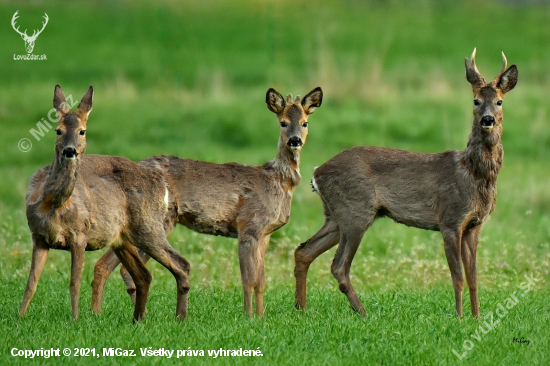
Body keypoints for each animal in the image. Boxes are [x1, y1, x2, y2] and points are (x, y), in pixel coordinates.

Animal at [21, 85, 192, 320]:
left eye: (82, 131)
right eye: (58, 130)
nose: (70, 150)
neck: (53, 205)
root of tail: (162, 184)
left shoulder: (80, 235)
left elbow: (74, 283)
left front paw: (75, 320)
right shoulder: (38, 236)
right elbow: (31, 284)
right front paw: (19, 318)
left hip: (149, 227)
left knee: (181, 264)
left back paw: (179, 319)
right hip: (122, 239)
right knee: (144, 275)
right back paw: (138, 319)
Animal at [90, 87, 324, 316]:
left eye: (305, 122)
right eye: (283, 122)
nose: (295, 140)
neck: (278, 180)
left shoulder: (265, 234)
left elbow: (261, 280)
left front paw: (261, 317)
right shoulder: (249, 225)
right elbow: (248, 279)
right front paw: (249, 318)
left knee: (110, 264)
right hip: (157, 222)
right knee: (115, 266)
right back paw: (104, 313)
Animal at [296, 50, 520, 318]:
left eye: (499, 101)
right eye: (475, 101)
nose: (487, 119)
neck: (473, 173)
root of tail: (317, 173)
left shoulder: (474, 225)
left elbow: (474, 277)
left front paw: (476, 317)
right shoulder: (450, 220)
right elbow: (457, 277)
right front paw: (459, 317)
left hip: (335, 215)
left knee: (304, 251)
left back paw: (301, 307)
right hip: (355, 211)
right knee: (338, 266)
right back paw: (363, 312)